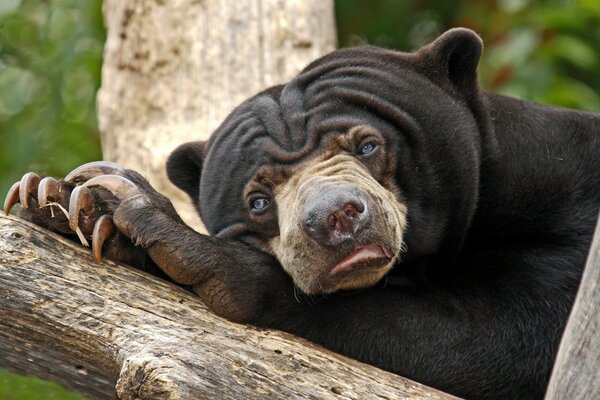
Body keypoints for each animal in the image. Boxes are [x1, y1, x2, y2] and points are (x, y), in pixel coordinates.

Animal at [5, 28, 600, 400]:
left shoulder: (570, 213)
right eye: (258, 201)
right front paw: (66, 202)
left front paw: (180, 242)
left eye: (368, 146)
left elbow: (505, 343)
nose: (336, 218)